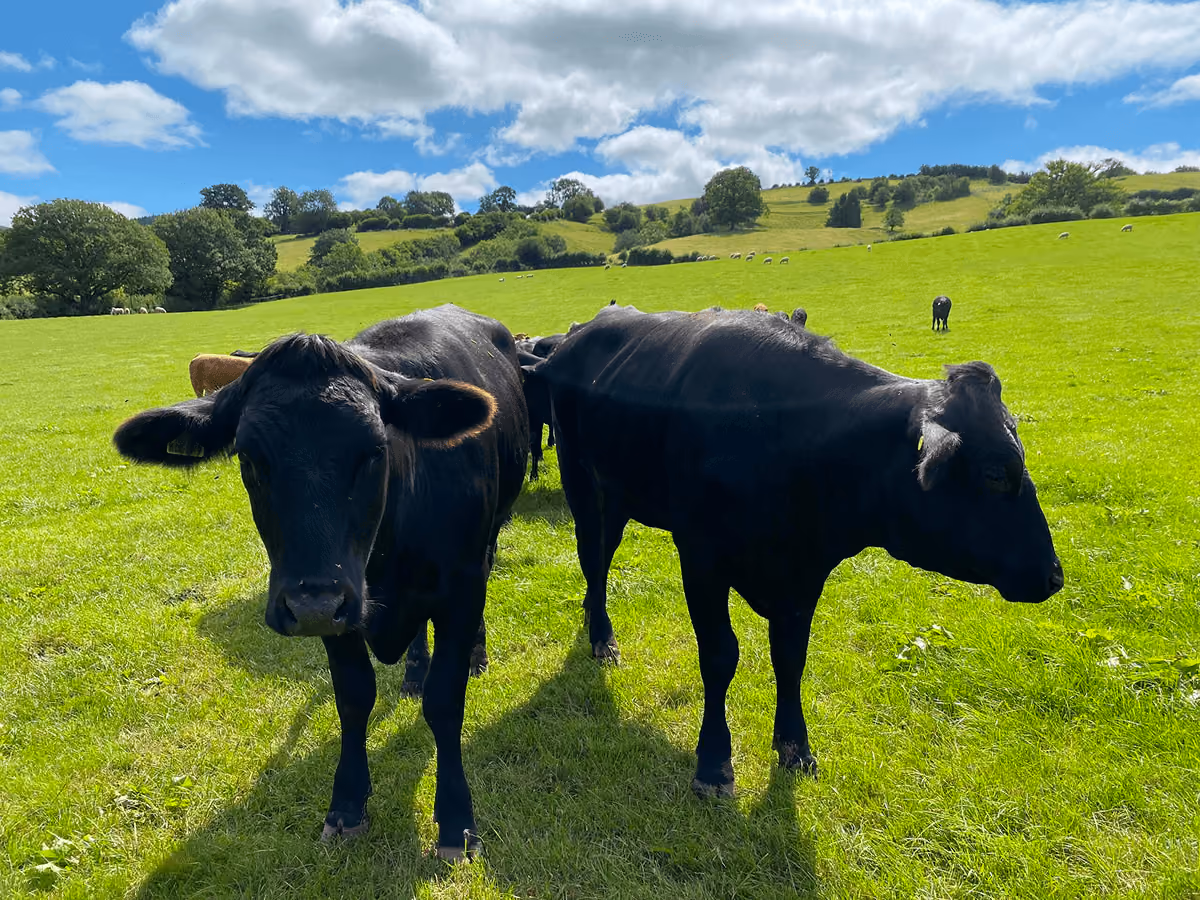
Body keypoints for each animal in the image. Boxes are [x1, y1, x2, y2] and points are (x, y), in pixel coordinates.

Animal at [113, 305, 528, 860]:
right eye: (249, 457)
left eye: (374, 450)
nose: (312, 606)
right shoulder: (339, 607)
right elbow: (353, 697)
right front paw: (348, 805)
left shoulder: (459, 586)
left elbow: (445, 701)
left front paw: (456, 820)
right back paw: (414, 669)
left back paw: (473, 655)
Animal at [522, 305, 1063, 798]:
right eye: (995, 474)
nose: (1054, 575)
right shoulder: (701, 556)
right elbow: (719, 655)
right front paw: (713, 764)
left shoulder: (805, 574)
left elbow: (790, 657)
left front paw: (795, 748)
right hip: (582, 480)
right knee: (593, 558)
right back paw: (602, 637)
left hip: (618, 493)